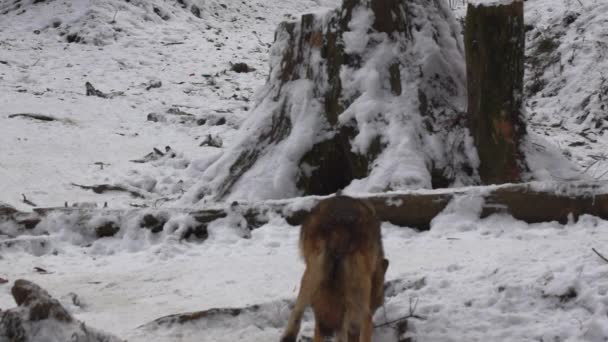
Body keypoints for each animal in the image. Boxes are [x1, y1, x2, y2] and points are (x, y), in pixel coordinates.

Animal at [282, 195, 390, 342]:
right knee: (356, 327)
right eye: (377, 306)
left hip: (311, 275)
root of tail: (340, 227)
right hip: (358, 292)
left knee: (297, 313)